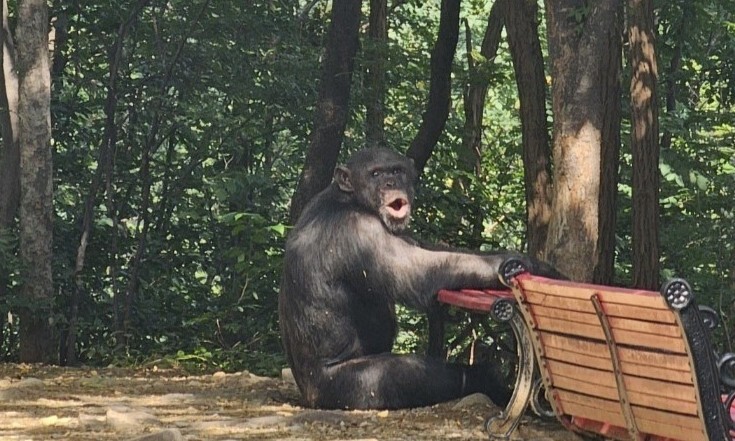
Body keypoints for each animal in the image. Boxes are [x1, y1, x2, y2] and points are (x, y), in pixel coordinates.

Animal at [278, 148, 560, 410]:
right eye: (375, 174)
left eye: (397, 171)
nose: (391, 183)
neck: (350, 199)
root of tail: (307, 396)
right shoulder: (359, 230)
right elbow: (422, 273)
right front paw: (530, 266)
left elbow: (431, 249)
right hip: (343, 389)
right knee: (407, 373)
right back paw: (485, 379)